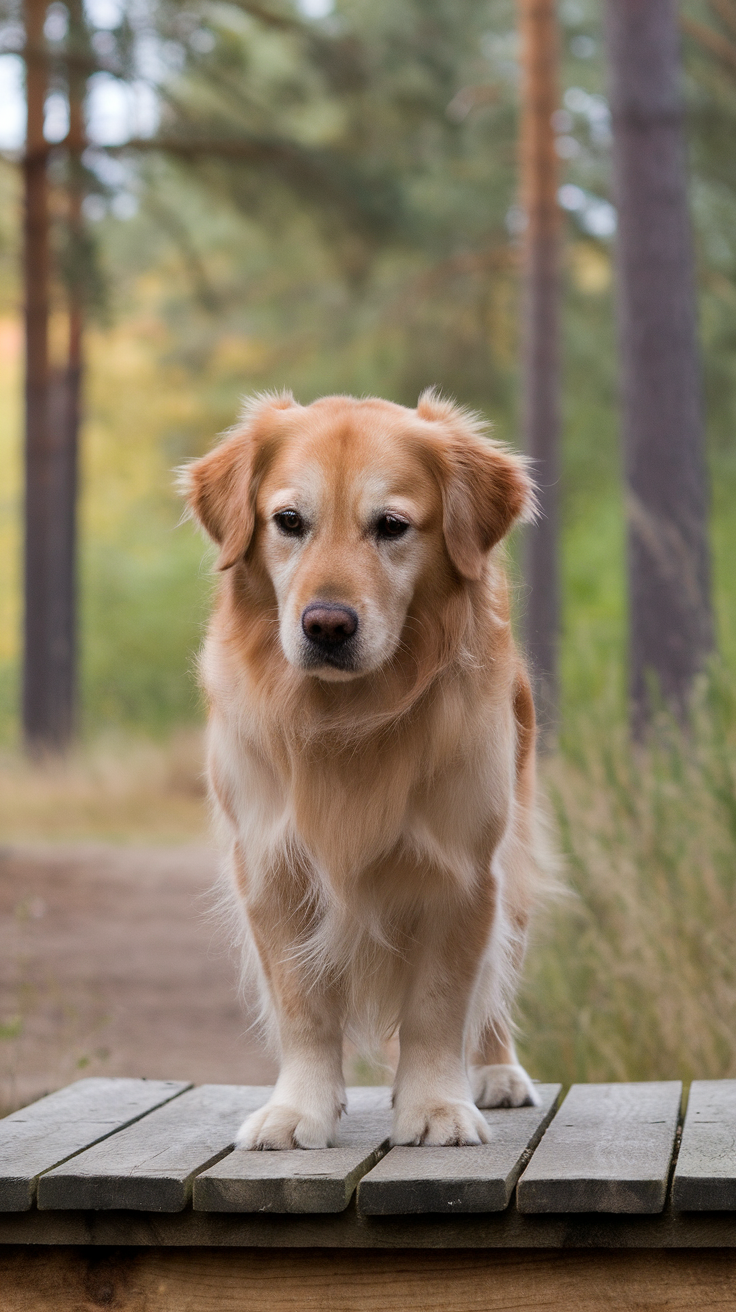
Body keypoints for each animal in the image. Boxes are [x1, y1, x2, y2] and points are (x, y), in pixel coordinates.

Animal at [181, 388, 543, 1149]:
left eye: (392, 526)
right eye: (289, 521)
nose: (326, 624)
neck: (347, 719)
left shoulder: (464, 873)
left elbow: (438, 1005)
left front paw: (436, 1106)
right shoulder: (272, 870)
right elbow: (304, 1010)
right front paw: (299, 1110)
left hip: (517, 864)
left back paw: (496, 1071)